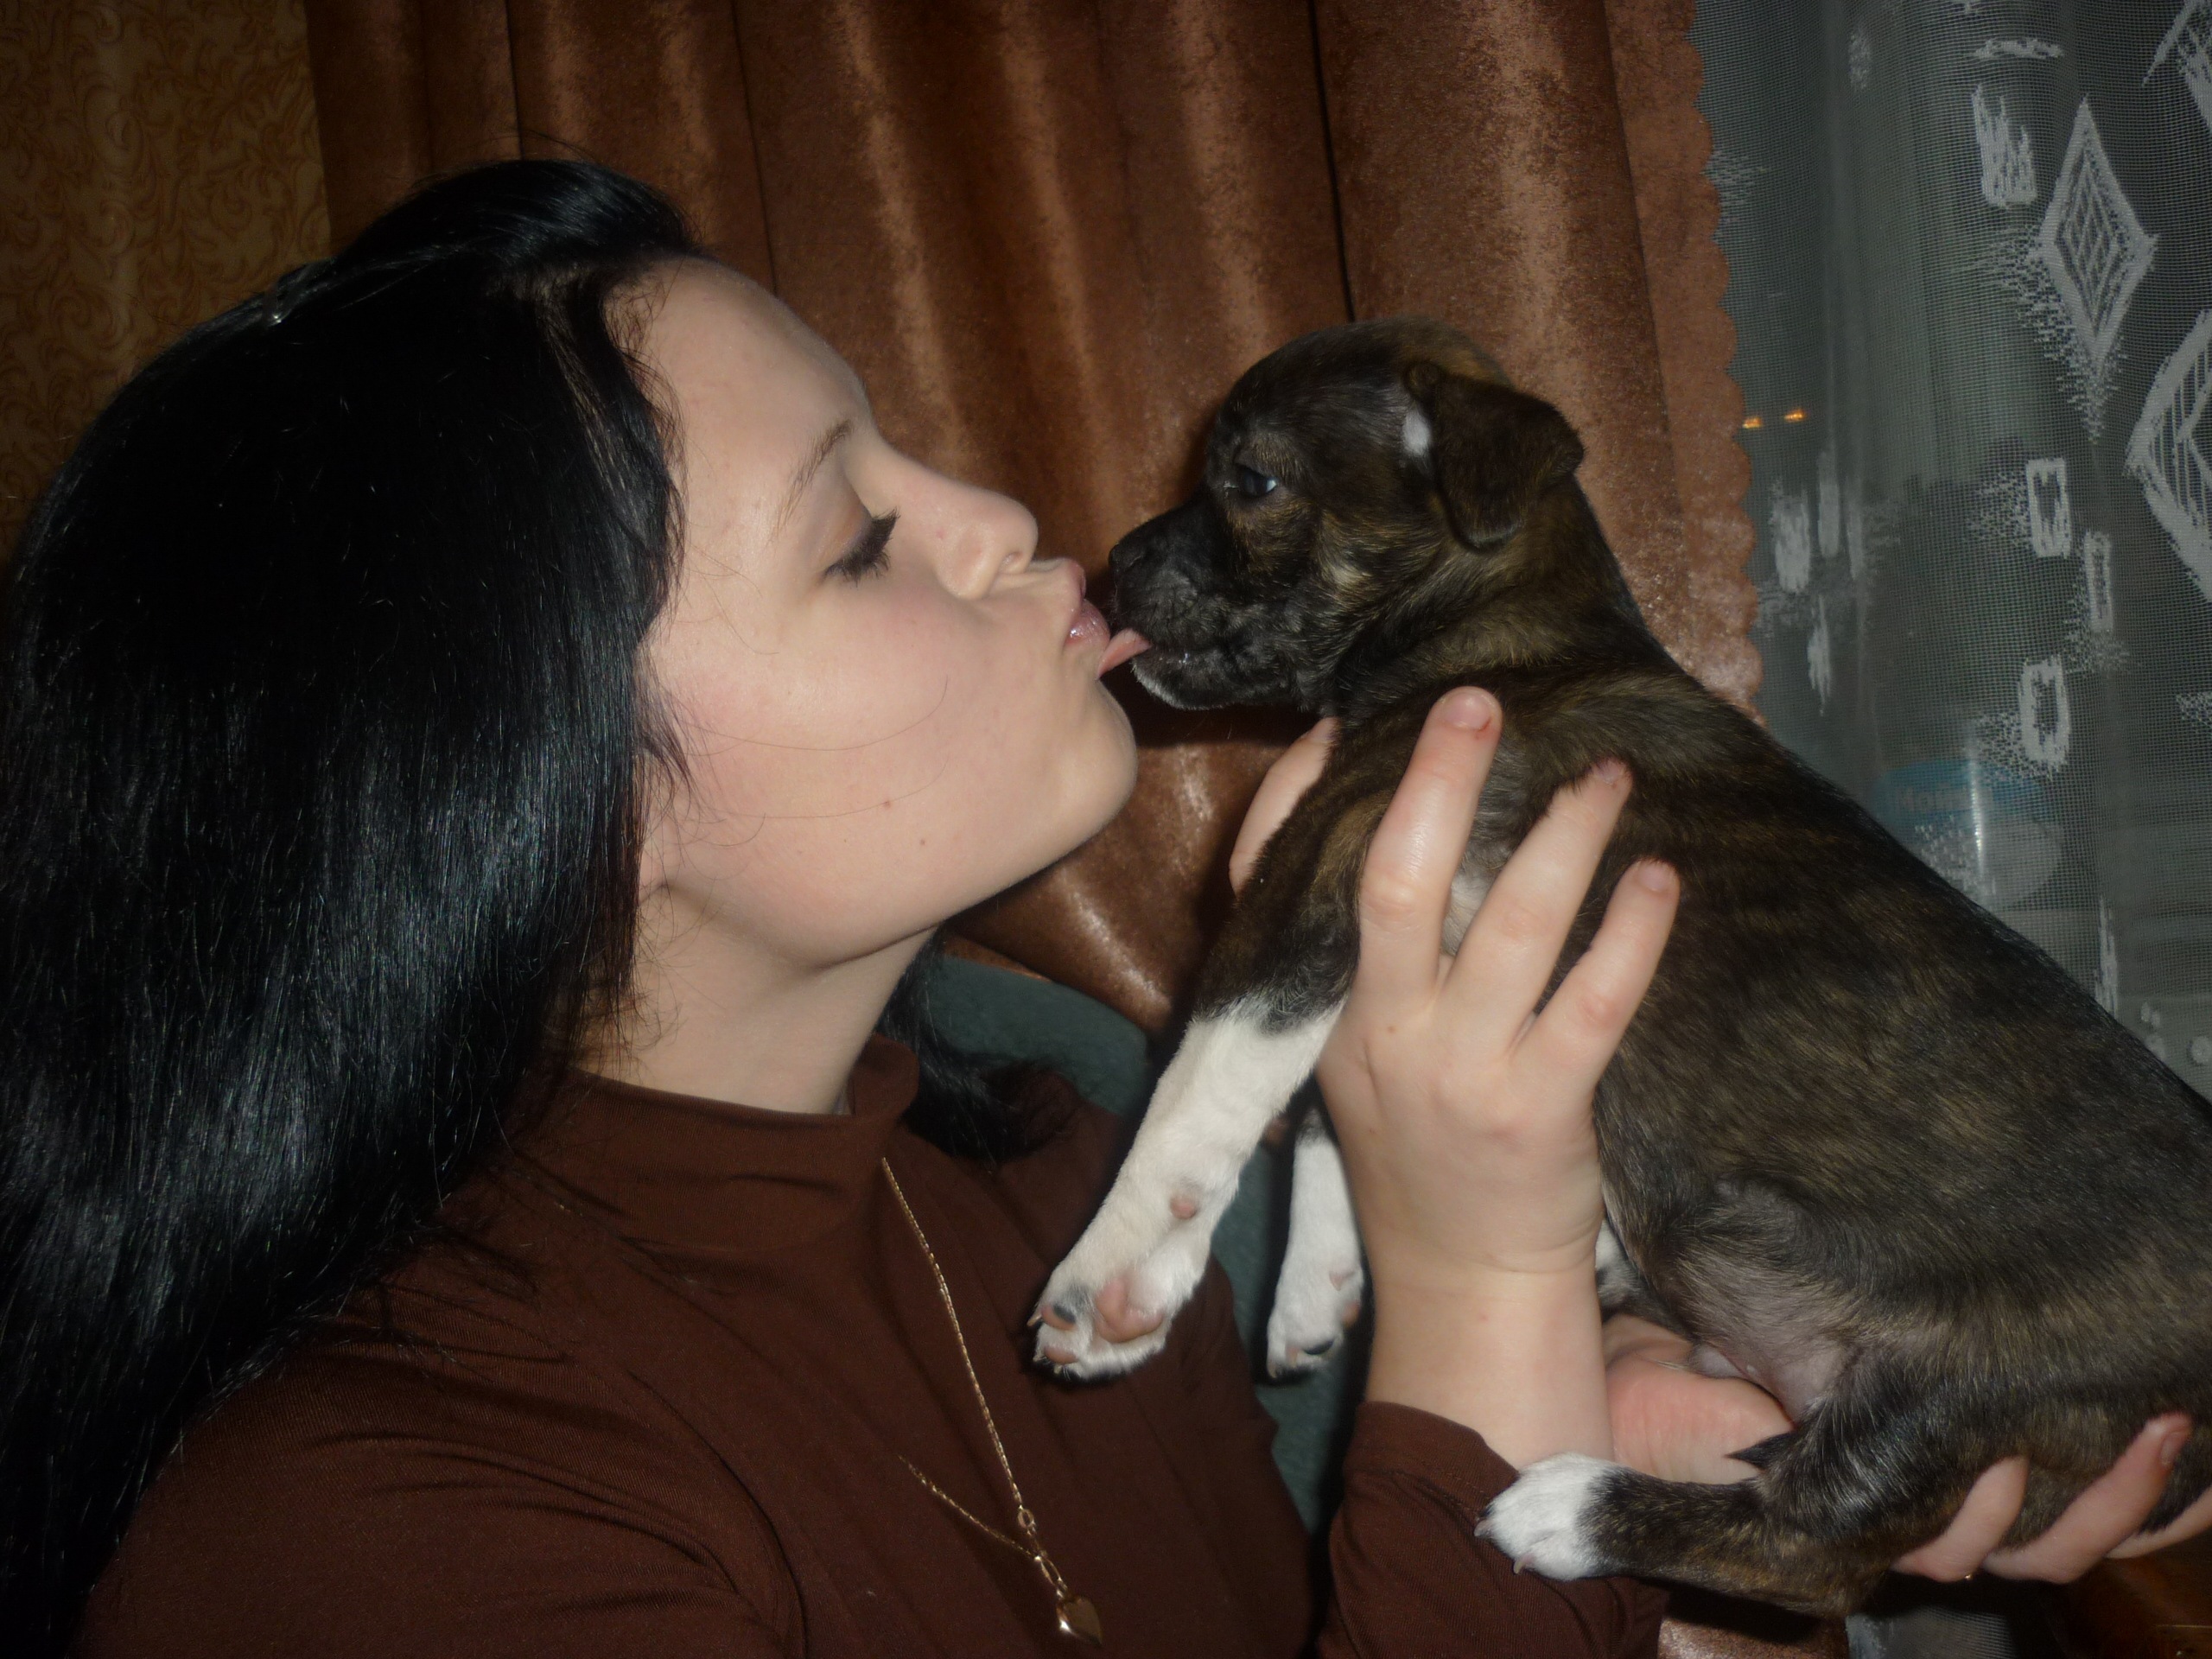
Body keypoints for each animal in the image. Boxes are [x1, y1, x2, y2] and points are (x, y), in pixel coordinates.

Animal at [1029, 317, 2212, 1614]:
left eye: (1250, 481)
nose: (1109, 564)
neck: (1502, 627)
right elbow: (1326, 1114)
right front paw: (1316, 1281)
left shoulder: (1312, 870)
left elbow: (1203, 1082)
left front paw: (1113, 1274)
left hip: (1976, 1380)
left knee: (1815, 1550)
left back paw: (1573, 1512)